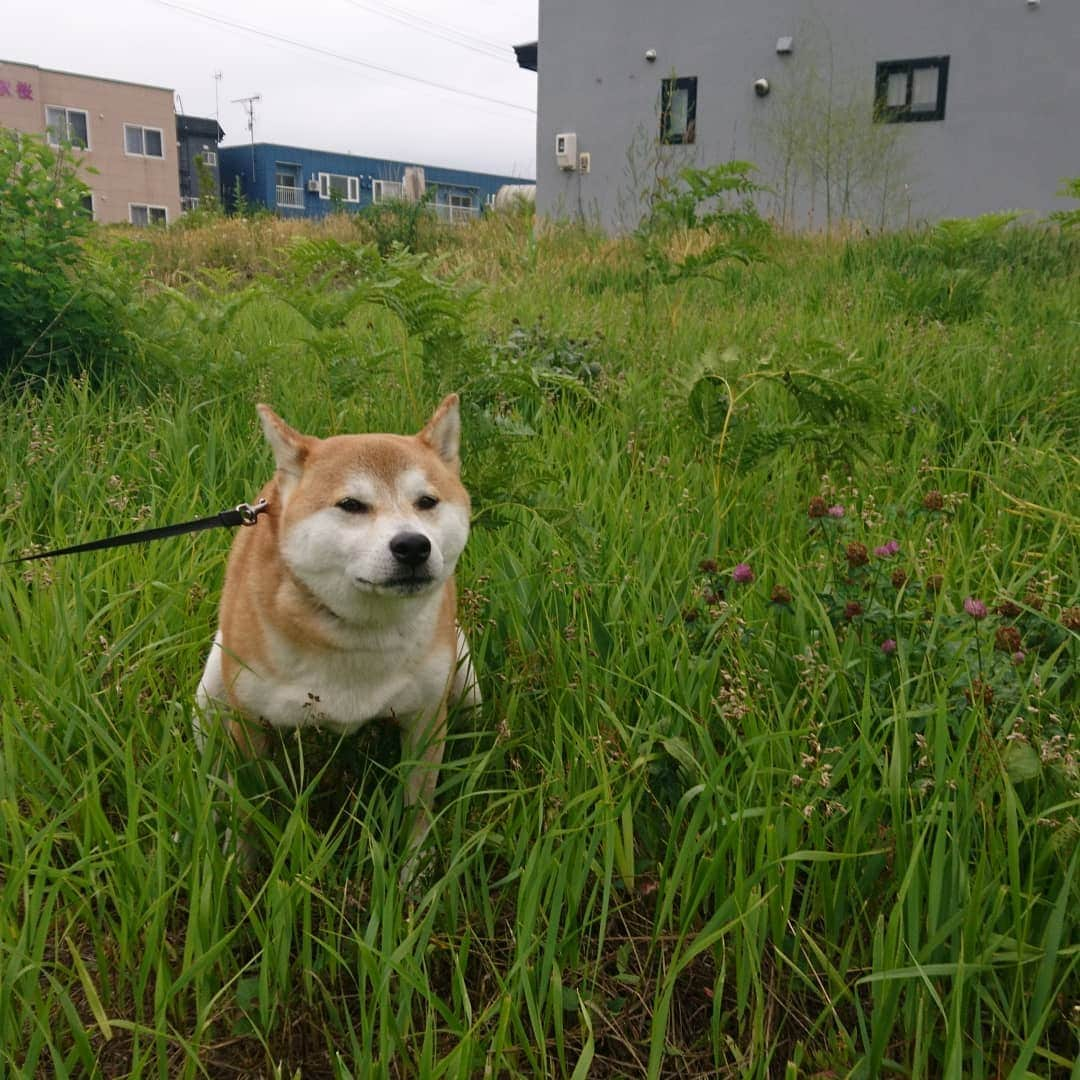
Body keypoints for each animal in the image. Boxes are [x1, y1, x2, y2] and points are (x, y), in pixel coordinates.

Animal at [195, 397, 481, 876]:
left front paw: (414, 878)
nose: (412, 546)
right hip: (211, 690)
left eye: (426, 501)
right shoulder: (248, 723)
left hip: (467, 683)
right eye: (351, 504)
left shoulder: (427, 719)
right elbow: (247, 807)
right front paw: (241, 869)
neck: (356, 634)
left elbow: (418, 811)